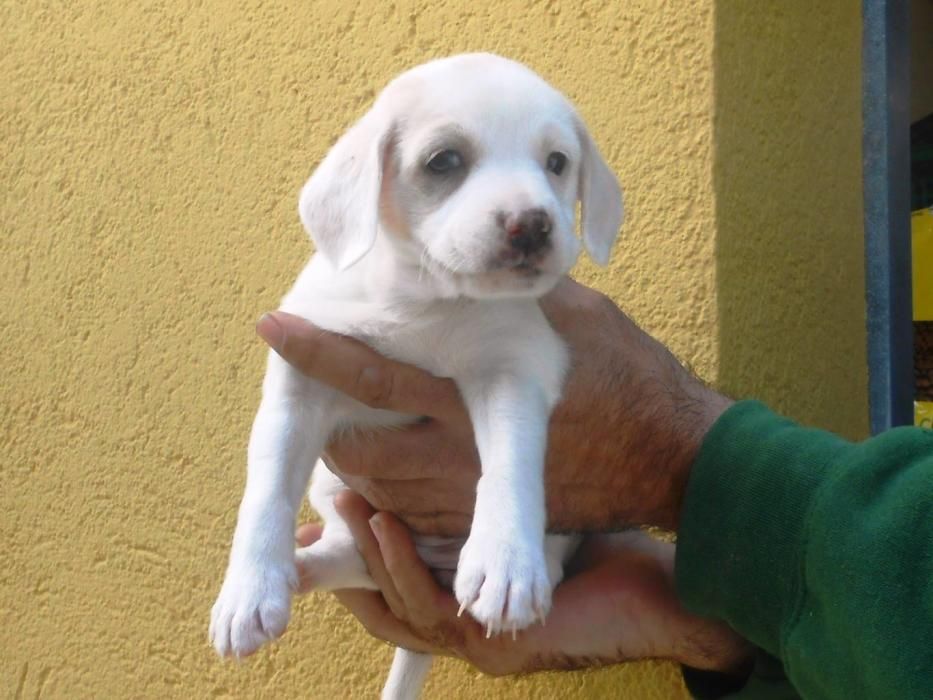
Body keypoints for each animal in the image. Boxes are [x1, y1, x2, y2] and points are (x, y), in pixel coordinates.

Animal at [208, 52, 624, 696]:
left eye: (556, 163)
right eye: (443, 161)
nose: (532, 224)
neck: (424, 299)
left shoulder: (514, 368)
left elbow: (509, 465)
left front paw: (506, 561)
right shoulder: (298, 382)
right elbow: (267, 489)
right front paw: (249, 590)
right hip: (338, 498)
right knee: (350, 556)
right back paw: (299, 569)